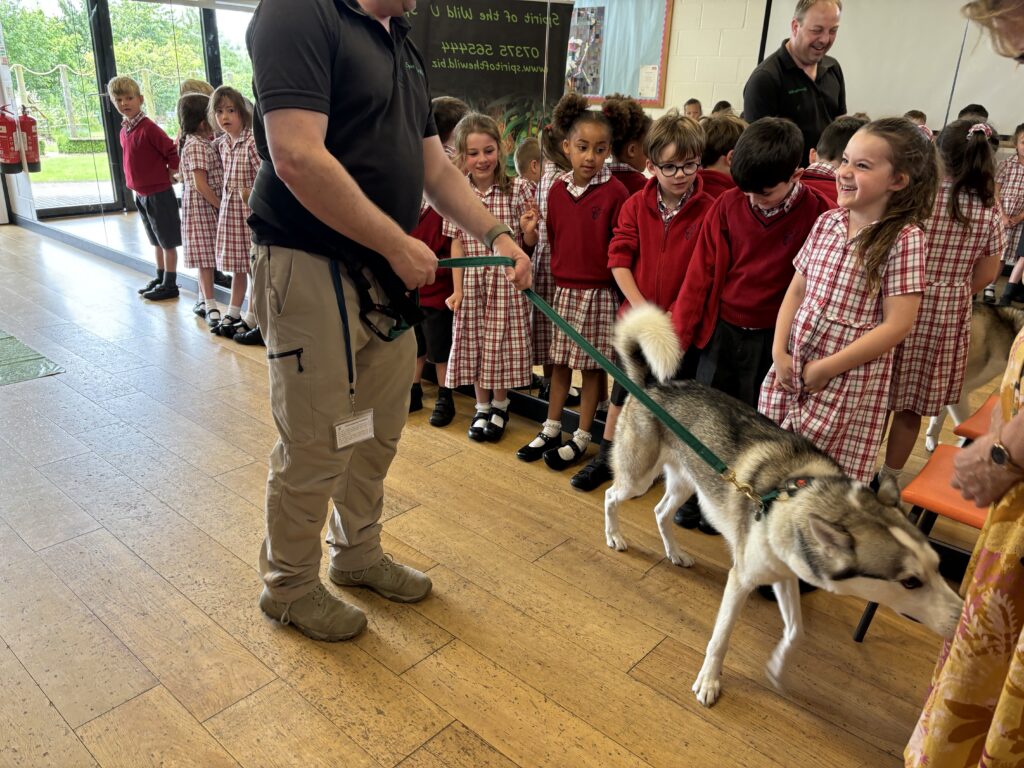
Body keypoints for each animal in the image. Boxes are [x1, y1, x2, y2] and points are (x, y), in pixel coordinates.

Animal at [602, 305, 962, 708]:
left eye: (938, 565)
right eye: (911, 582)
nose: (963, 620)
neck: (796, 497)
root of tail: (651, 384)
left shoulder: (785, 573)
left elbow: (796, 631)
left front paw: (777, 668)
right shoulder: (741, 580)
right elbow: (720, 639)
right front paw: (709, 681)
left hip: (687, 481)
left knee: (661, 512)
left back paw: (675, 553)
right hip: (638, 477)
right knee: (612, 496)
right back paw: (614, 536)